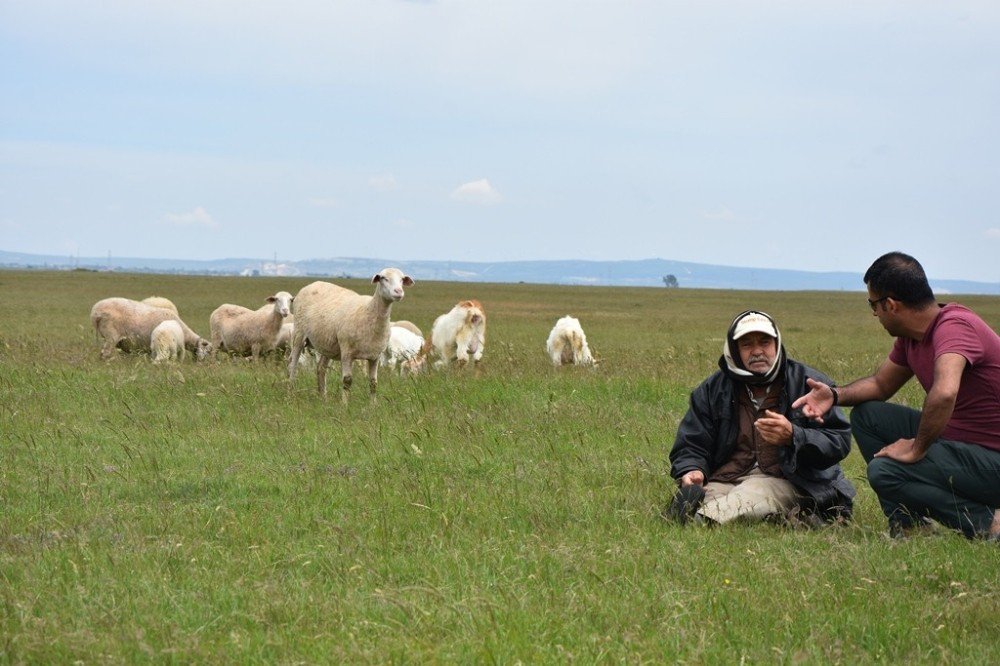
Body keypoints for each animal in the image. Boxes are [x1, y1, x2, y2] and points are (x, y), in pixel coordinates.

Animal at [290, 268, 414, 402]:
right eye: (383, 278)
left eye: (402, 279)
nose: (399, 292)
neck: (369, 311)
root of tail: (312, 284)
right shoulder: (346, 353)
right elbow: (347, 381)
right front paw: (344, 404)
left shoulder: (375, 356)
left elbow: (373, 383)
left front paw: (373, 405)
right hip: (299, 334)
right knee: (292, 364)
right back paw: (290, 392)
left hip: (327, 344)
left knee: (321, 368)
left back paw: (324, 398)